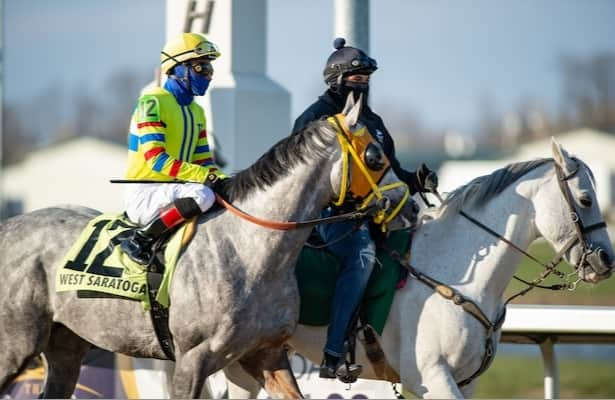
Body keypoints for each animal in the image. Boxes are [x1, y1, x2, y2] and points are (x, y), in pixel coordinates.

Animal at [0, 96, 418, 396]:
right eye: (375, 155)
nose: (410, 207)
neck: (249, 252)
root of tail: (8, 226)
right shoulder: (191, 359)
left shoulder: (265, 354)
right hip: (15, 345)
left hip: (65, 345)